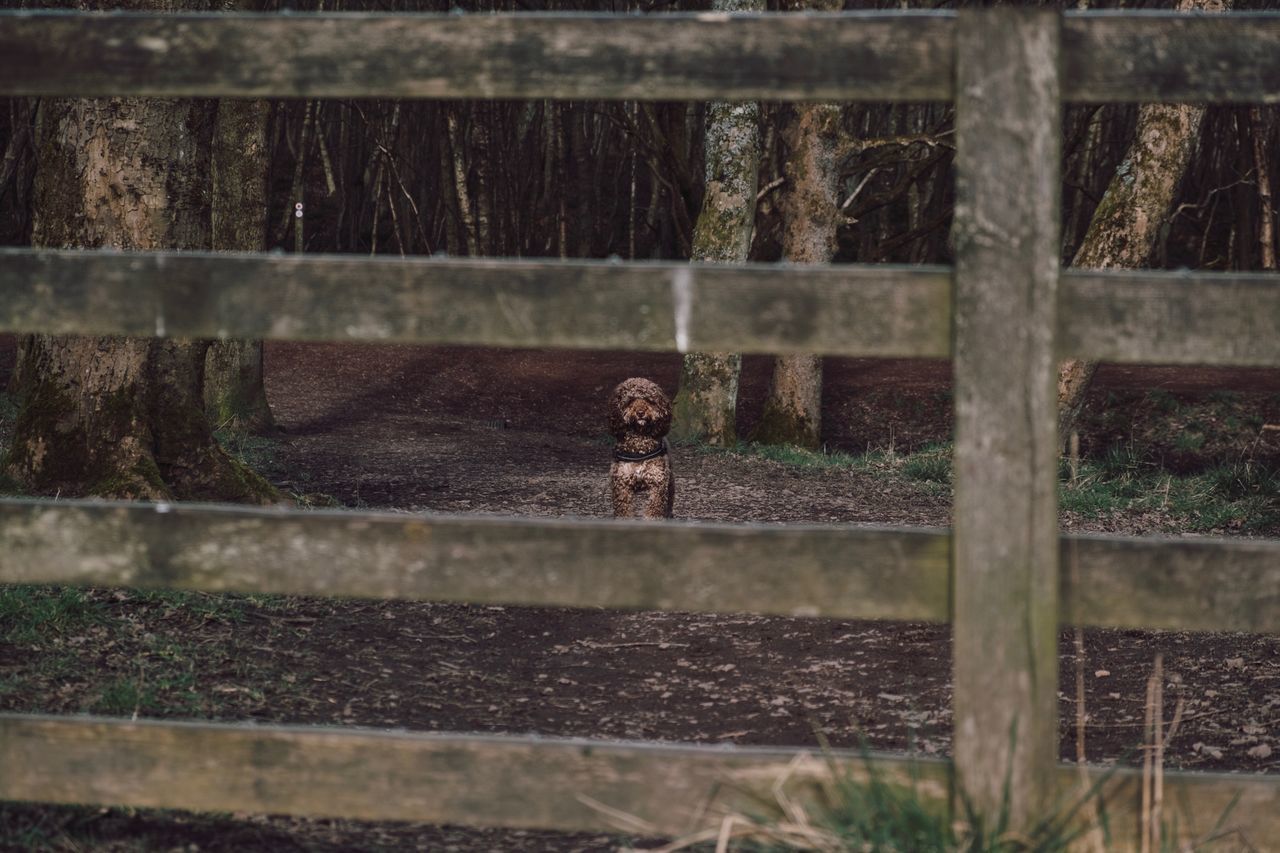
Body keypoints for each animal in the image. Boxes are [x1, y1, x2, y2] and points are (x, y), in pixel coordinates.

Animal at [606, 376, 675, 517]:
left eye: (649, 400)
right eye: (630, 400)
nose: (640, 412)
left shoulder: (657, 484)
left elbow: (654, 513)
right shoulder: (622, 485)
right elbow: (624, 513)